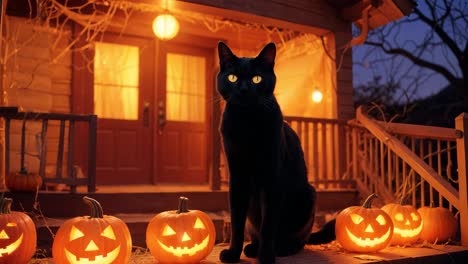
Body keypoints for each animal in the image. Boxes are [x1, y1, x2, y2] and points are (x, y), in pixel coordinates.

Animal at [218, 41, 334, 264]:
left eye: (256, 78)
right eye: (232, 77)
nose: (243, 89)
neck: (247, 124)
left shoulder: (271, 177)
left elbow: (268, 224)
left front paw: (266, 257)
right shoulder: (237, 178)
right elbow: (236, 222)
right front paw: (233, 254)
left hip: (308, 196)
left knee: (298, 239)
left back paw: (282, 249)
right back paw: (252, 248)